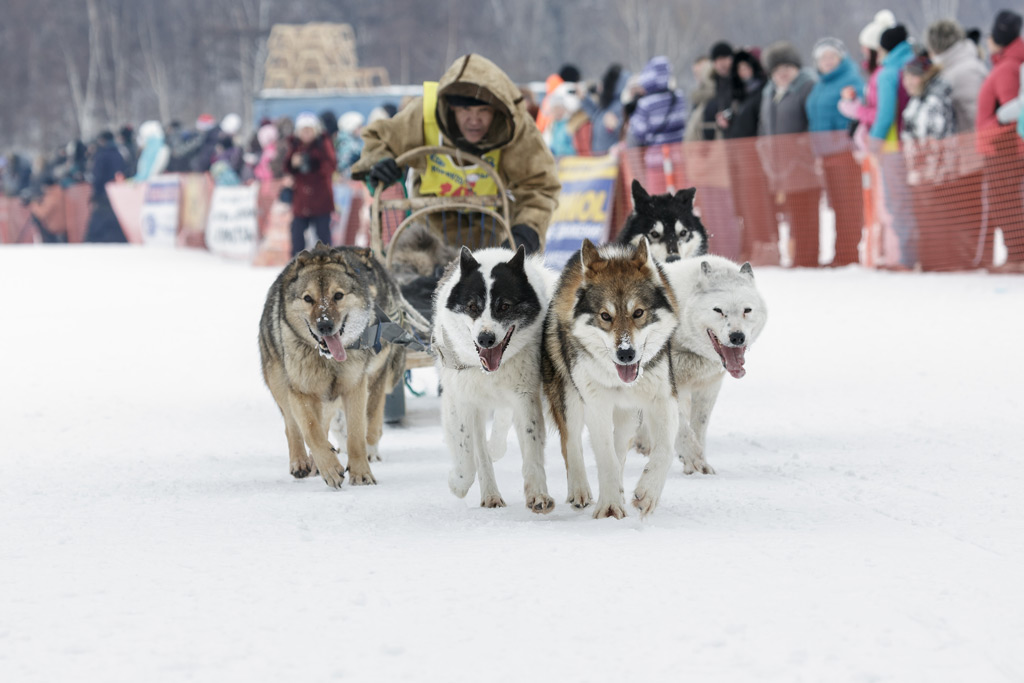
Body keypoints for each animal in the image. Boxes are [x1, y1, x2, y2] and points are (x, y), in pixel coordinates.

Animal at [434, 245, 561, 511]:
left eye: (504, 306)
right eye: (472, 306)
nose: (485, 339)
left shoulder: (525, 397)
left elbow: (531, 446)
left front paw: (538, 495)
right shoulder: (464, 400)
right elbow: (467, 452)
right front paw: (458, 483)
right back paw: (489, 494)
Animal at [540, 237, 684, 520]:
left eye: (638, 312)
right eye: (605, 316)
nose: (625, 353)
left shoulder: (664, 398)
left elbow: (664, 450)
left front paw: (647, 494)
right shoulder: (596, 404)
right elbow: (604, 456)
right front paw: (609, 506)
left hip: (628, 414)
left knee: (619, 448)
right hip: (570, 397)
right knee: (571, 443)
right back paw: (580, 491)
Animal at [647, 254, 770, 475]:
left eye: (747, 310)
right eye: (718, 310)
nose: (737, 337)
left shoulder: (708, 387)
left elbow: (698, 426)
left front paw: (697, 463)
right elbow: (680, 426)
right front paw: (692, 456)